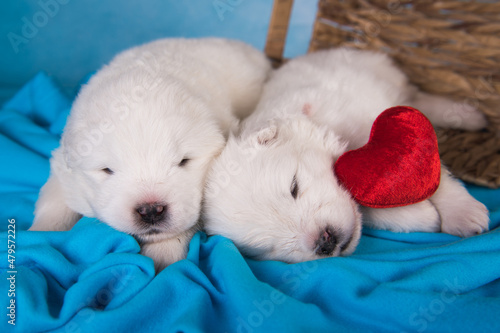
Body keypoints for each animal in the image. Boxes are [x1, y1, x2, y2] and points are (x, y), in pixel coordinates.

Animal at [29, 37, 272, 270]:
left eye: (184, 161)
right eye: (107, 170)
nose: (151, 210)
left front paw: (161, 256)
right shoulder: (63, 168)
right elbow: (54, 201)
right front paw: (39, 232)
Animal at [202, 48, 488, 264]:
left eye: (294, 186)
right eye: (266, 247)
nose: (324, 241)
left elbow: (435, 176)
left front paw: (464, 215)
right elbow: (368, 209)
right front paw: (424, 216)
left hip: (386, 76)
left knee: (419, 97)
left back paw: (470, 115)